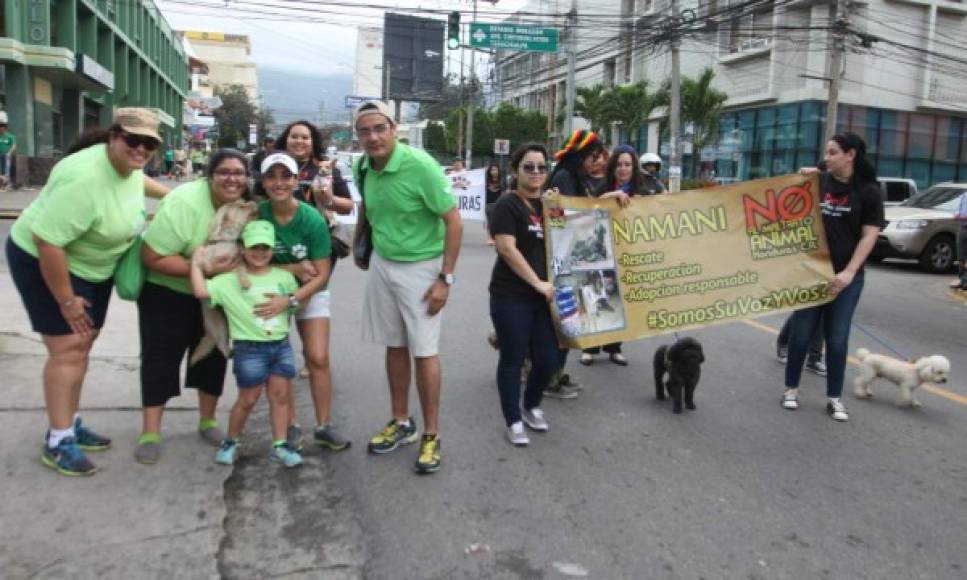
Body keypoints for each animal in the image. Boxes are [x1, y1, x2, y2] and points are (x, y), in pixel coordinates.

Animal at [188, 197, 258, 364]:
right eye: (241, 206)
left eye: (244, 201)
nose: (254, 200)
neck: (226, 240)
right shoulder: (205, 260)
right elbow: (205, 263)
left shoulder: (238, 261)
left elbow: (241, 268)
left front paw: (245, 282)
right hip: (218, 326)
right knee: (220, 344)